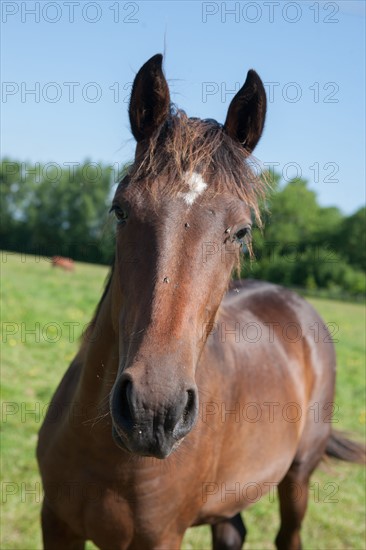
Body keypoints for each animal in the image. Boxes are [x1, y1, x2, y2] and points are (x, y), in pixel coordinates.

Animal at [36, 55, 364, 550]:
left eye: (241, 231)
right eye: (120, 209)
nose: (154, 411)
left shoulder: (161, 538)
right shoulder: (55, 523)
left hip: (298, 478)